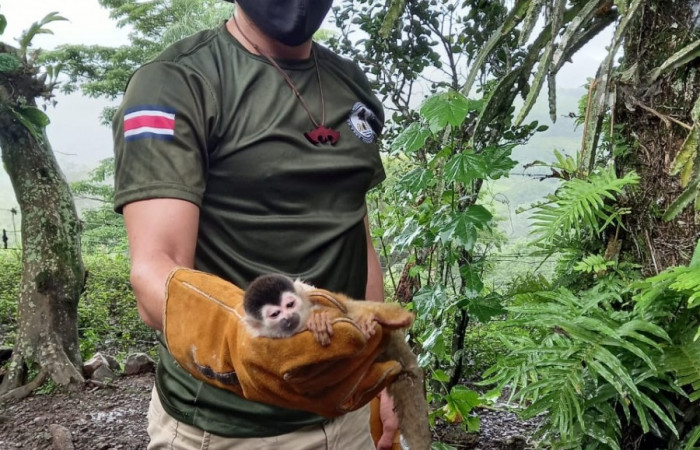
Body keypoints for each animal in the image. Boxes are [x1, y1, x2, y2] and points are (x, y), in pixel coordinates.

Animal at [243, 273, 432, 450]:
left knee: (353, 307)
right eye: (275, 314)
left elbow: (338, 308)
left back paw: (392, 317)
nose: (289, 317)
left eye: (290, 305)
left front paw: (319, 317)